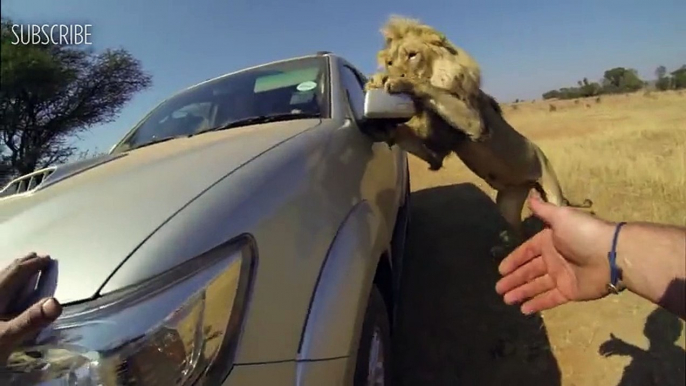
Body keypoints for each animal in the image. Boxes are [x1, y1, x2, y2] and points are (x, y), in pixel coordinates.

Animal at [368, 15, 592, 244]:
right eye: (389, 62)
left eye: (413, 55)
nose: (390, 73)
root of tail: (528, 184)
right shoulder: (436, 152)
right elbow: (407, 137)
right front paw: (379, 121)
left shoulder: (475, 122)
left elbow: (430, 89)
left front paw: (398, 81)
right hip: (507, 202)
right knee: (521, 232)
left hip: (551, 186)